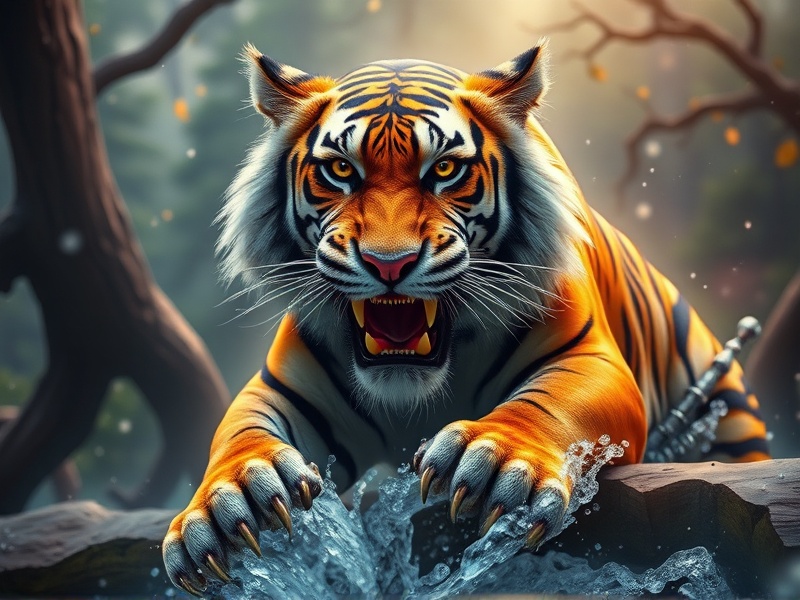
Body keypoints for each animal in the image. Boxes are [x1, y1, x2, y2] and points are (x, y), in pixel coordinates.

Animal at [162, 42, 770, 595]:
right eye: (339, 170)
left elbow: (548, 402)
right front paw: (230, 501)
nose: (389, 263)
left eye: (446, 170)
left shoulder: (589, 357)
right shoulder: (281, 386)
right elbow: (238, 432)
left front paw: (499, 461)